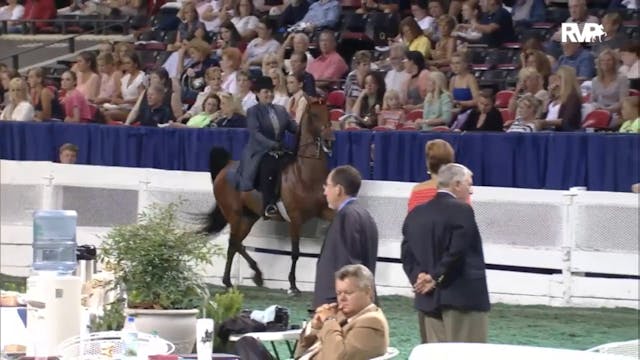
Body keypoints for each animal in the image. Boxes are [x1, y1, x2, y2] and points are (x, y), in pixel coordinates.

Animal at [204, 101, 336, 296]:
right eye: (314, 114)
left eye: (328, 112)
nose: (329, 139)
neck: (306, 174)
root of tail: (226, 167)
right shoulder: (295, 218)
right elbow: (295, 253)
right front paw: (293, 286)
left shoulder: (325, 211)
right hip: (235, 215)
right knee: (234, 242)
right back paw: (233, 280)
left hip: (249, 217)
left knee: (237, 244)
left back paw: (251, 276)